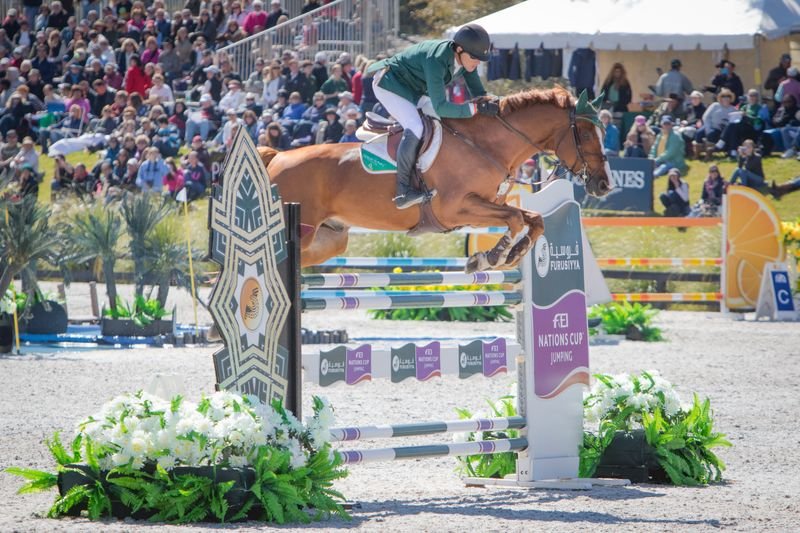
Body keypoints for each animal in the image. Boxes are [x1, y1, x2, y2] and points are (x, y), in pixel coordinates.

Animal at [260, 88, 608, 272]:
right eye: (586, 134)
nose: (604, 185)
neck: (484, 145)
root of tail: (277, 157)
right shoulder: (456, 208)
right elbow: (514, 218)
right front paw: (490, 258)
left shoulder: (481, 207)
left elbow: (533, 219)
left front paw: (512, 254)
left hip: (329, 238)